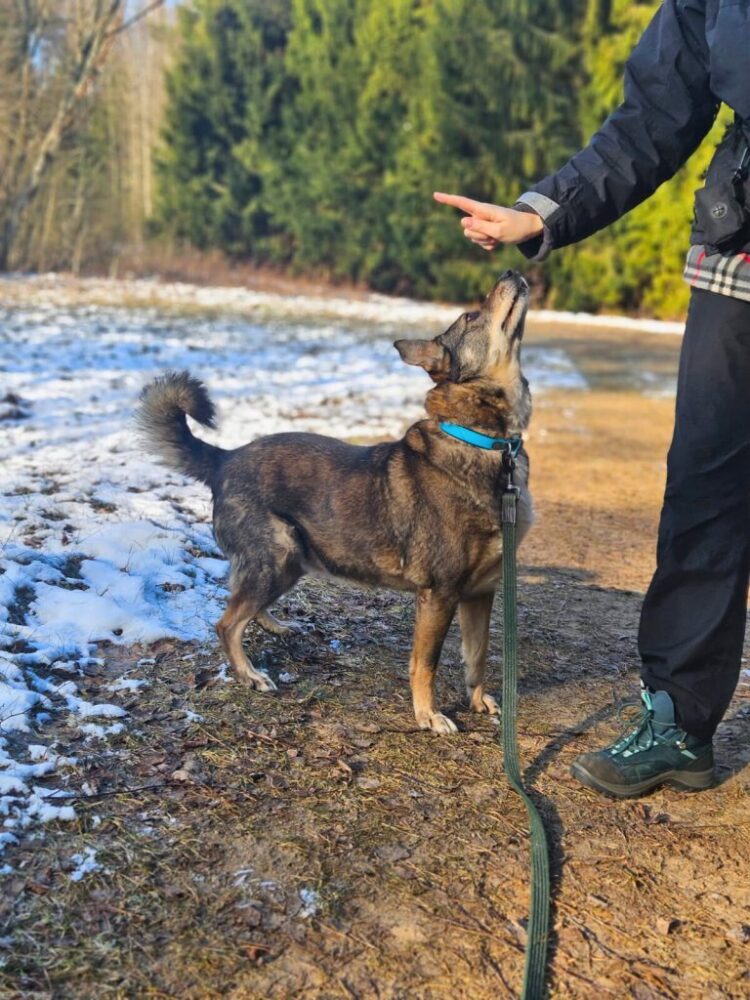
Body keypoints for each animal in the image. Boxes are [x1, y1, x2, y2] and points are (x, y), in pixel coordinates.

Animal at [137, 269, 533, 733]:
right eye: (472, 315)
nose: (510, 272)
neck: (485, 443)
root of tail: (224, 457)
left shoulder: (479, 593)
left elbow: (478, 657)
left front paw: (477, 701)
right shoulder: (440, 594)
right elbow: (426, 663)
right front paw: (429, 715)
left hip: (287, 563)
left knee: (242, 602)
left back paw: (273, 626)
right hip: (279, 556)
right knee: (227, 622)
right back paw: (250, 674)